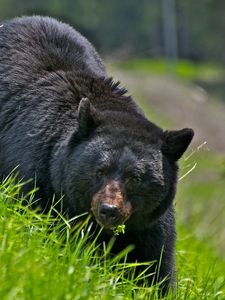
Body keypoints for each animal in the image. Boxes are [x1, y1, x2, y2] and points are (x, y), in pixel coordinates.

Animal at [0, 15, 193, 292]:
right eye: (99, 171)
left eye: (136, 178)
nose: (109, 210)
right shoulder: (36, 176)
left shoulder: (149, 224)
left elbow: (155, 265)